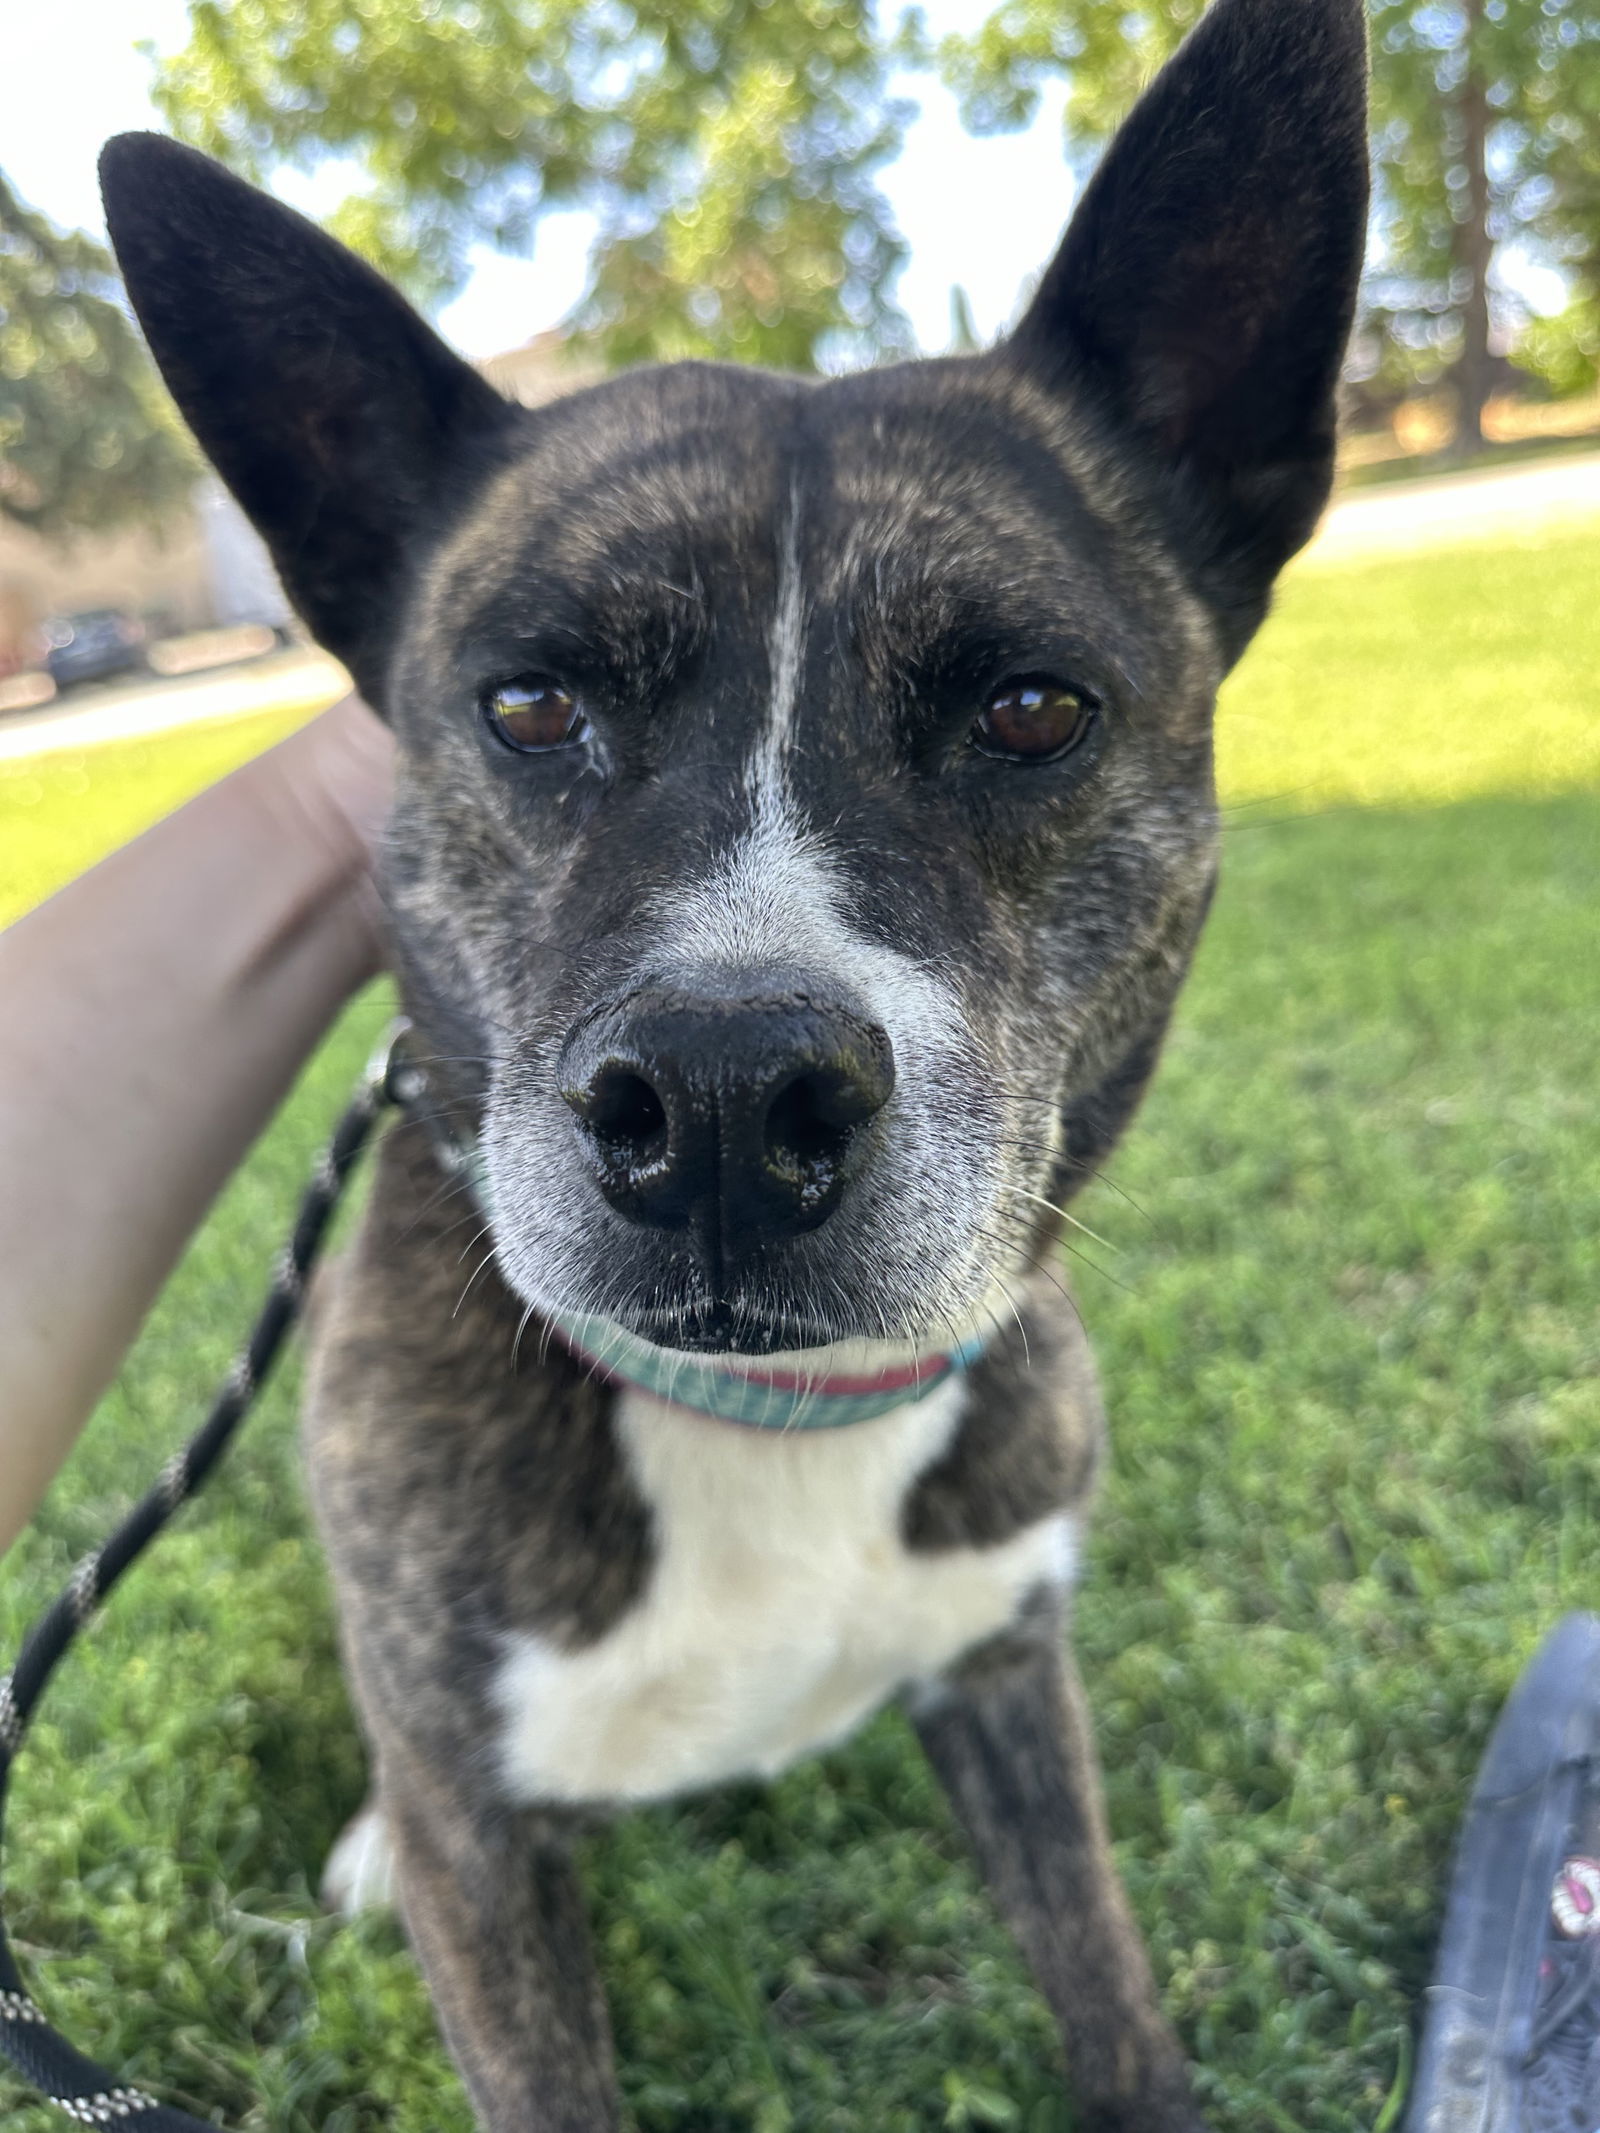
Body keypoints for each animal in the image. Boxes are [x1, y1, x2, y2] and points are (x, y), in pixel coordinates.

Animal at [100, 0, 1373, 2124]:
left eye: (1034, 708)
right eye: (530, 704)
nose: (715, 1102)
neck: (774, 1423)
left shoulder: (1013, 1680)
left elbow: (1108, 1986)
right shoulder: (485, 1862)